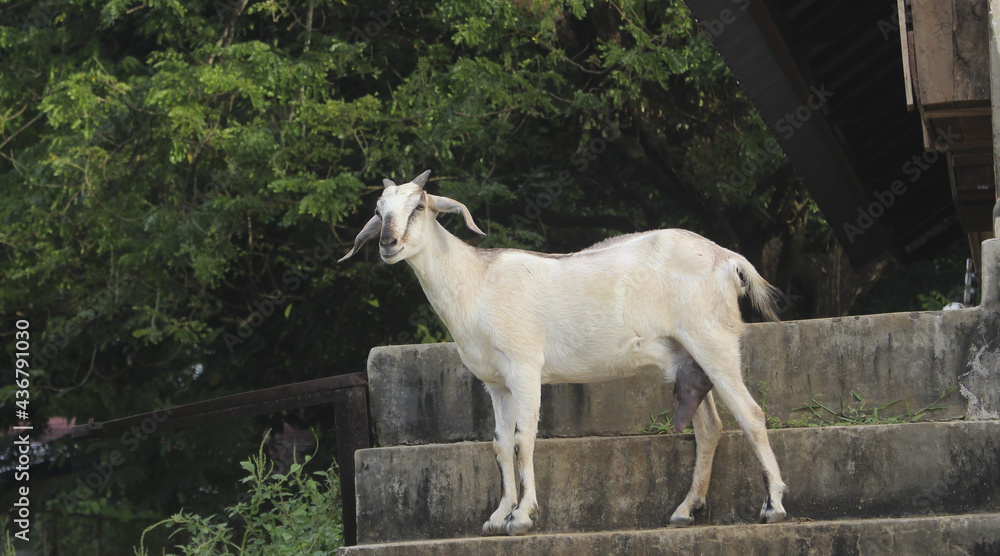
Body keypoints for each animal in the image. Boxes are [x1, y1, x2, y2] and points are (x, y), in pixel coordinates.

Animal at [340, 170, 787, 535]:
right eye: (379, 211)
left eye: (419, 205)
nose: (387, 243)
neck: (477, 282)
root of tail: (727, 259)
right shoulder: (495, 383)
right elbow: (499, 443)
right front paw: (497, 516)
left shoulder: (524, 367)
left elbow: (524, 439)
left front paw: (522, 516)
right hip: (688, 358)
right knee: (709, 426)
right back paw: (684, 510)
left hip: (714, 341)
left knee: (751, 414)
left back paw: (774, 506)